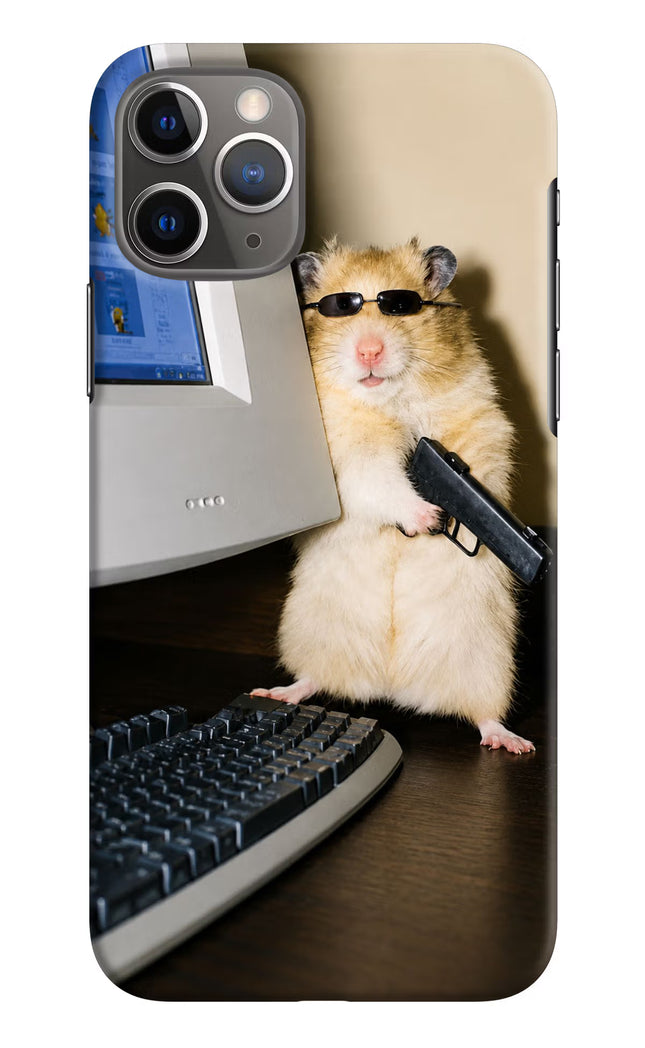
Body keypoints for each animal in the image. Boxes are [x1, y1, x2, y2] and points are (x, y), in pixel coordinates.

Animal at [252, 239, 534, 754]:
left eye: (400, 306)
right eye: (340, 307)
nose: (369, 350)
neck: (389, 401)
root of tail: (392, 686)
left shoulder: (480, 424)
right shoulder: (348, 458)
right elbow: (380, 481)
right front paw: (428, 518)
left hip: (487, 660)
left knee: (484, 714)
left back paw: (512, 742)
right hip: (311, 632)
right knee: (313, 678)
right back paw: (277, 692)